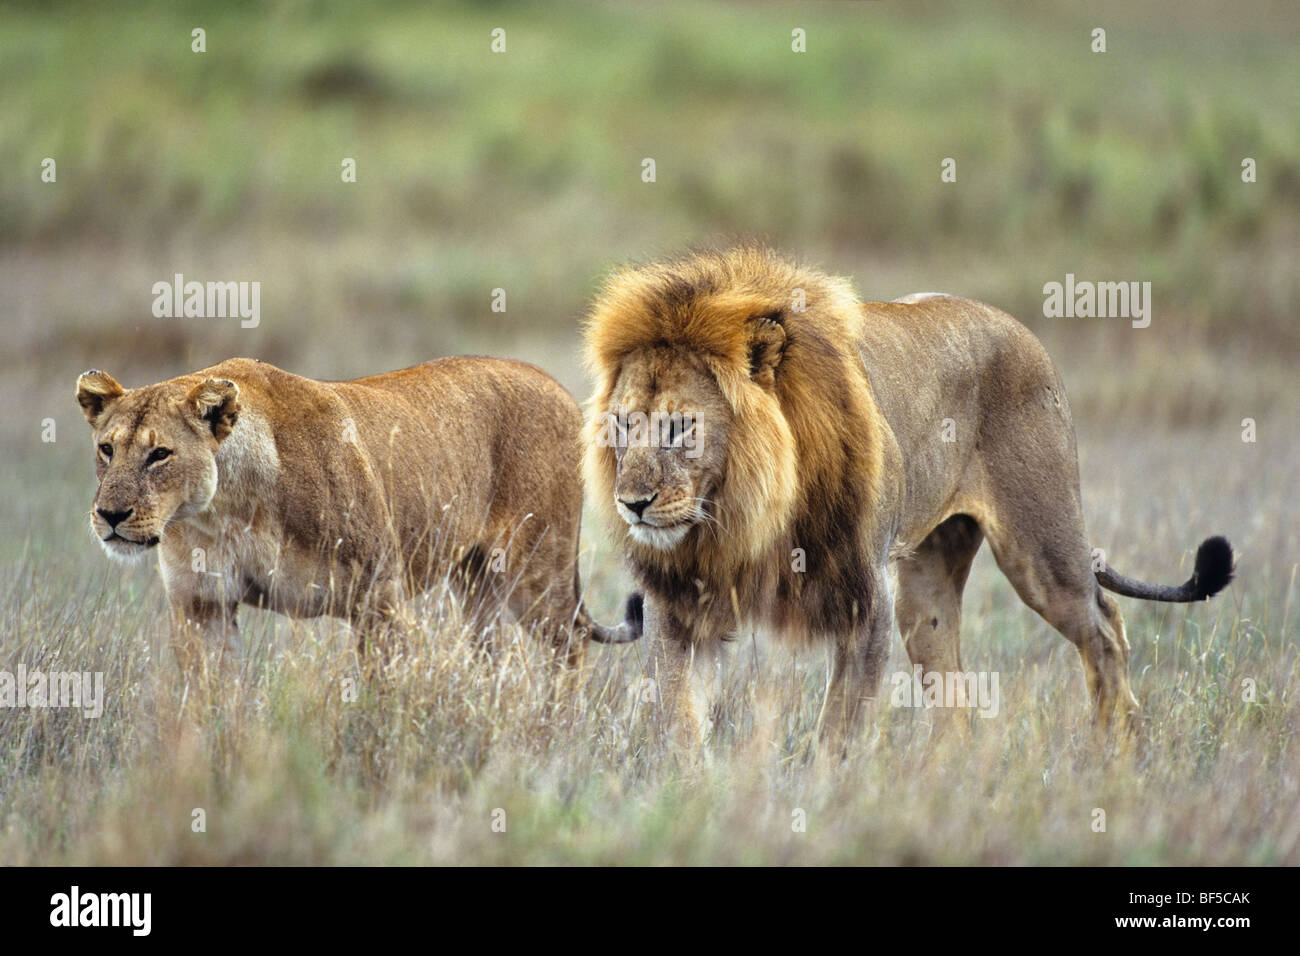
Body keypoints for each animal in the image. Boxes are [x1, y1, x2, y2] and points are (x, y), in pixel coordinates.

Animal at [77, 356, 639, 676]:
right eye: (107, 449)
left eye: (160, 455)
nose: (110, 514)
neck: (227, 509)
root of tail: (554, 383)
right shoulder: (203, 606)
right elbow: (214, 700)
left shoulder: (379, 600)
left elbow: (379, 699)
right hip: (475, 578)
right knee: (492, 652)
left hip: (536, 567)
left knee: (569, 647)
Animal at [585, 244, 1232, 738]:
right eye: (621, 425)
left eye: (680, 428)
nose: (631, 503)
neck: (744, 511)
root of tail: (1019, 328)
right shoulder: (679, 608)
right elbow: (679, 720)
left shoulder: (863, 604)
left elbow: (837, 732)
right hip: (927, 586)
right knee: (955, 693)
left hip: (1042, 549)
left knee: (1103, 624)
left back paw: (1115, 747)